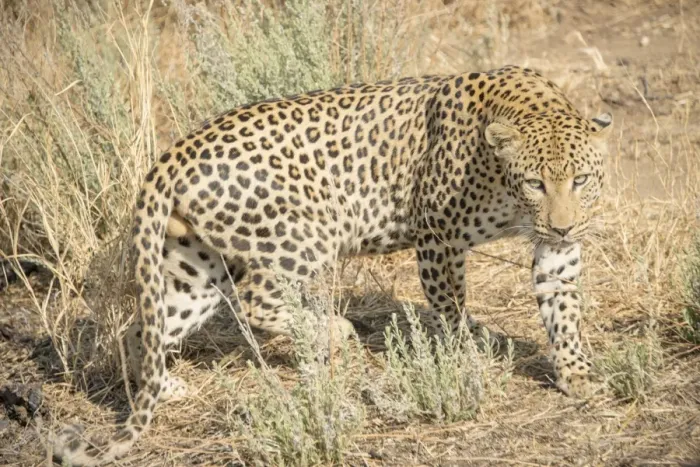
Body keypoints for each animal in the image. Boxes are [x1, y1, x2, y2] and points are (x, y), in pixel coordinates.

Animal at [52, 65, 612, 465]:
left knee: (143, 330)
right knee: (254, 301)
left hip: (196, 265)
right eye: (535, 182)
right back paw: (330, 332)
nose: (564, 225)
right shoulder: (437, 236)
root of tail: (172, 154)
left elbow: (563, 307)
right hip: (305, 235)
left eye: (581, 180)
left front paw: (577, 373)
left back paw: (165, 386)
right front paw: (465, 355)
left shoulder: (556, 249)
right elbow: (451, 306)